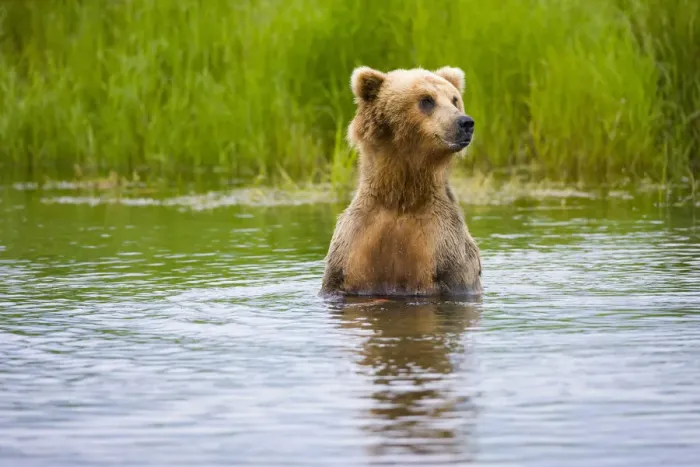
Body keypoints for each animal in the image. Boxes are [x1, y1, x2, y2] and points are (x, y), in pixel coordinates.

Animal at [320, 66, 482, 297]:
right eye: (427, 100)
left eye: (454, 99)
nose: (465, 122)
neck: (401, 195)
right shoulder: (353, 245)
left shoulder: (443, 247)